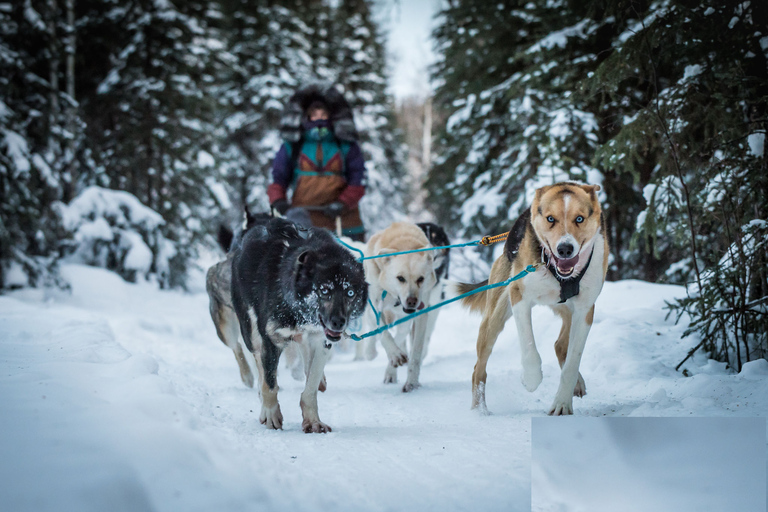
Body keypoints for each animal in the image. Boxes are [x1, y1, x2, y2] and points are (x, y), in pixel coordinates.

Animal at [362, 220, 440, 392]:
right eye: (400, 278)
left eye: (421, 279)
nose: (412, 301)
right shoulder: (374, 306)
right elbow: (383, 332)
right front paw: (394, 354)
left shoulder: (420, 315)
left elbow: (415, 352)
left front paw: (412, 382)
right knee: (375, 331)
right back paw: (372, 352)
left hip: (405, 320)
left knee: (400, 336)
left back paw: (392, 370)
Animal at [456, 182, 608, 414]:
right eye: (551, 218)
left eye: (580, 218)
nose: (565, 249)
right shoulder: (519, 295)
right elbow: (528, 345)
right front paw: (531, 378)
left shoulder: (584, 311)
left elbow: (572, 362)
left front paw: (562, 403)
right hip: (494, 318)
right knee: (478, 369)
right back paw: (479, 410)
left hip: (567, 311)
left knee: (560, 345)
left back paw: (577, 383)